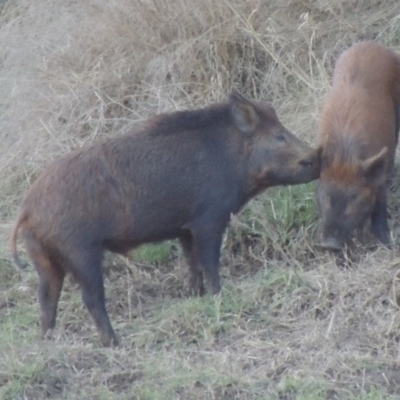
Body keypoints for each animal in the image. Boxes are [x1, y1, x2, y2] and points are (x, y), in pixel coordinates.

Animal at [10, 92, 320, 346]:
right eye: (279, 136)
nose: (318, 158)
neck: (234, 159)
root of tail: (27, 208)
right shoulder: (208, 220)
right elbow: (209, 263)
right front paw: (220, 296)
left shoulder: (185, 229)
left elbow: (192, 264)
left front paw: (195, 295)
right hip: (80, 250)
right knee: (91, 298)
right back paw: (115, 343)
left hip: (44, 258)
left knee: (46, 298)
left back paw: (48, 341)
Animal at [316, 41, 400, 250]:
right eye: (326, 195)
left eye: (353, 197)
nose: (329, 245)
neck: (345, 156)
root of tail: (370, 43)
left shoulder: (377, 176)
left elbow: (380, 205)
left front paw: (386, 243)